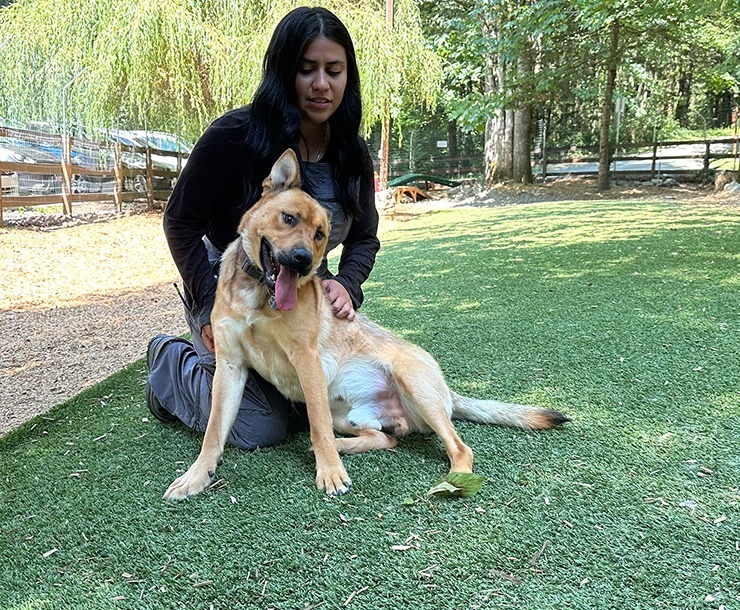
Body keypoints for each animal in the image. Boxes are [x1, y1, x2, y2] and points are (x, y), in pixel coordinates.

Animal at [165, 148, 568, 498]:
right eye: (289, 218)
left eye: (320, 234)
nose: (302, 261)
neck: (258, 295)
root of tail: (447, 392)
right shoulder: (230, 367)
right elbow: (213, 431)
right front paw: (196, 476)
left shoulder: (306, 359)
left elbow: (316, 428)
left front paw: (329, 473)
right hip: (348, 415)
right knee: (385, 438)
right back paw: (347, 446)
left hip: (410, 382)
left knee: (459, 448)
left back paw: (450, 482)